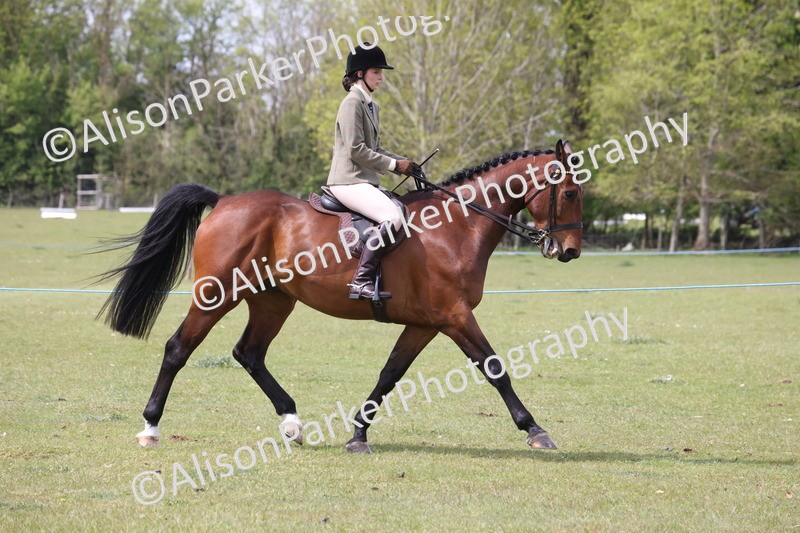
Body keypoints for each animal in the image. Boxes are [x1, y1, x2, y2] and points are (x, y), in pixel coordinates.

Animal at [98, 140, 584, 454]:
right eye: (570, 192)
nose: (570, 252)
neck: (456, 225)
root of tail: (224, 202)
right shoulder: (454, 316)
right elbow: (495, 369)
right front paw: (535, 429)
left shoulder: (425, 323)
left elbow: (389, 375)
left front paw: (357, 435)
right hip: (217, 294)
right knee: (178, 348)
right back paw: (151, 427)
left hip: (274, 301)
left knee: (249, 353)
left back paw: (292, 423)